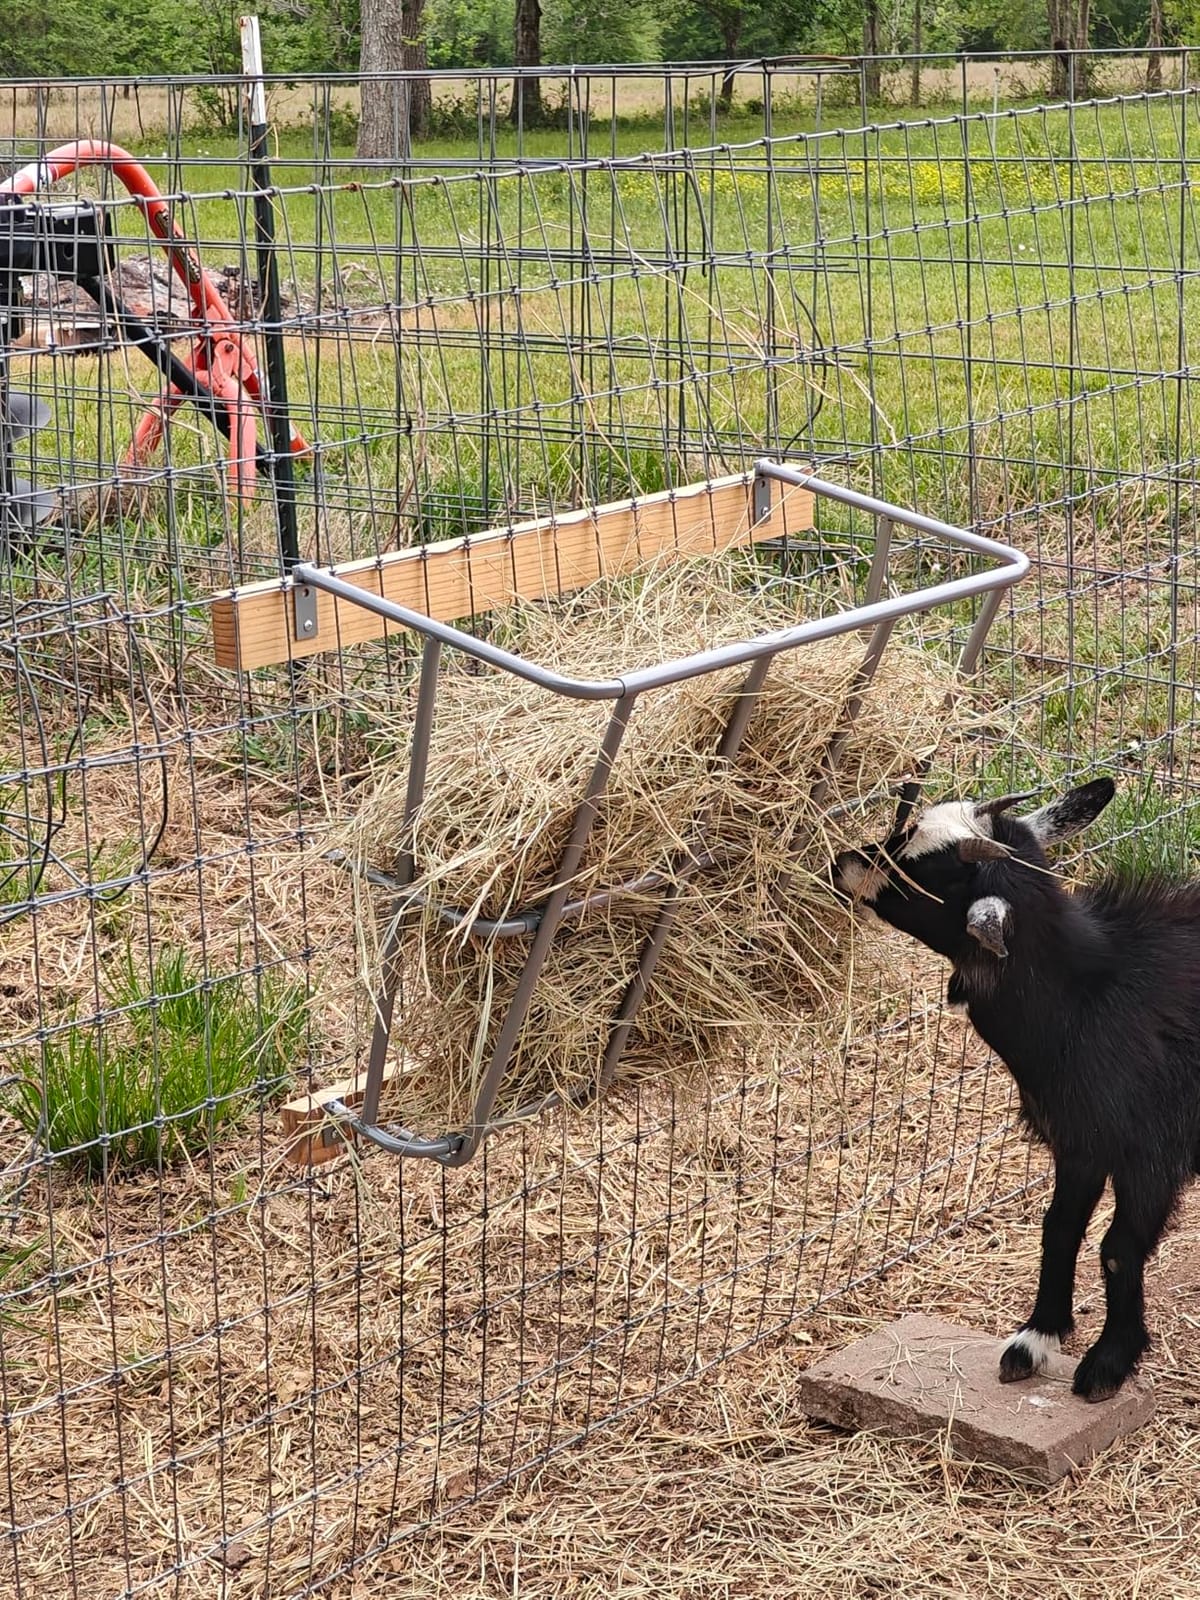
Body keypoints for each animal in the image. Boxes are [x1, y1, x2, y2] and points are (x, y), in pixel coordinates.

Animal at [832, 776, 1200, 1401]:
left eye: (921, 873)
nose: (842, 863)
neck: (1088, 998)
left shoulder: (1151, 1156)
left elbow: (1118, 1251)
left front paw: (1108, 1362)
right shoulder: (1079, 1144)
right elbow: (1059, 1231)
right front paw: (1036, 1339)